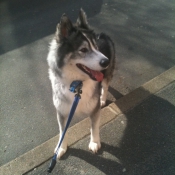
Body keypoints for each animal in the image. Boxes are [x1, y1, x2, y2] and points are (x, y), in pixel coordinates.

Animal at [46, 8, 115, 159]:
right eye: (83, 50)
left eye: (96, 47)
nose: (106, 61)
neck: (77, 84)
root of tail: (102, 34)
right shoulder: (61, 111)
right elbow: (62, 131)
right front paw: (61, 147)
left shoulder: (94, 110)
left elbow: (94, 127)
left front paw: (94, 142)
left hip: (106, 75)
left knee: (105, 86)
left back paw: (103, 98)